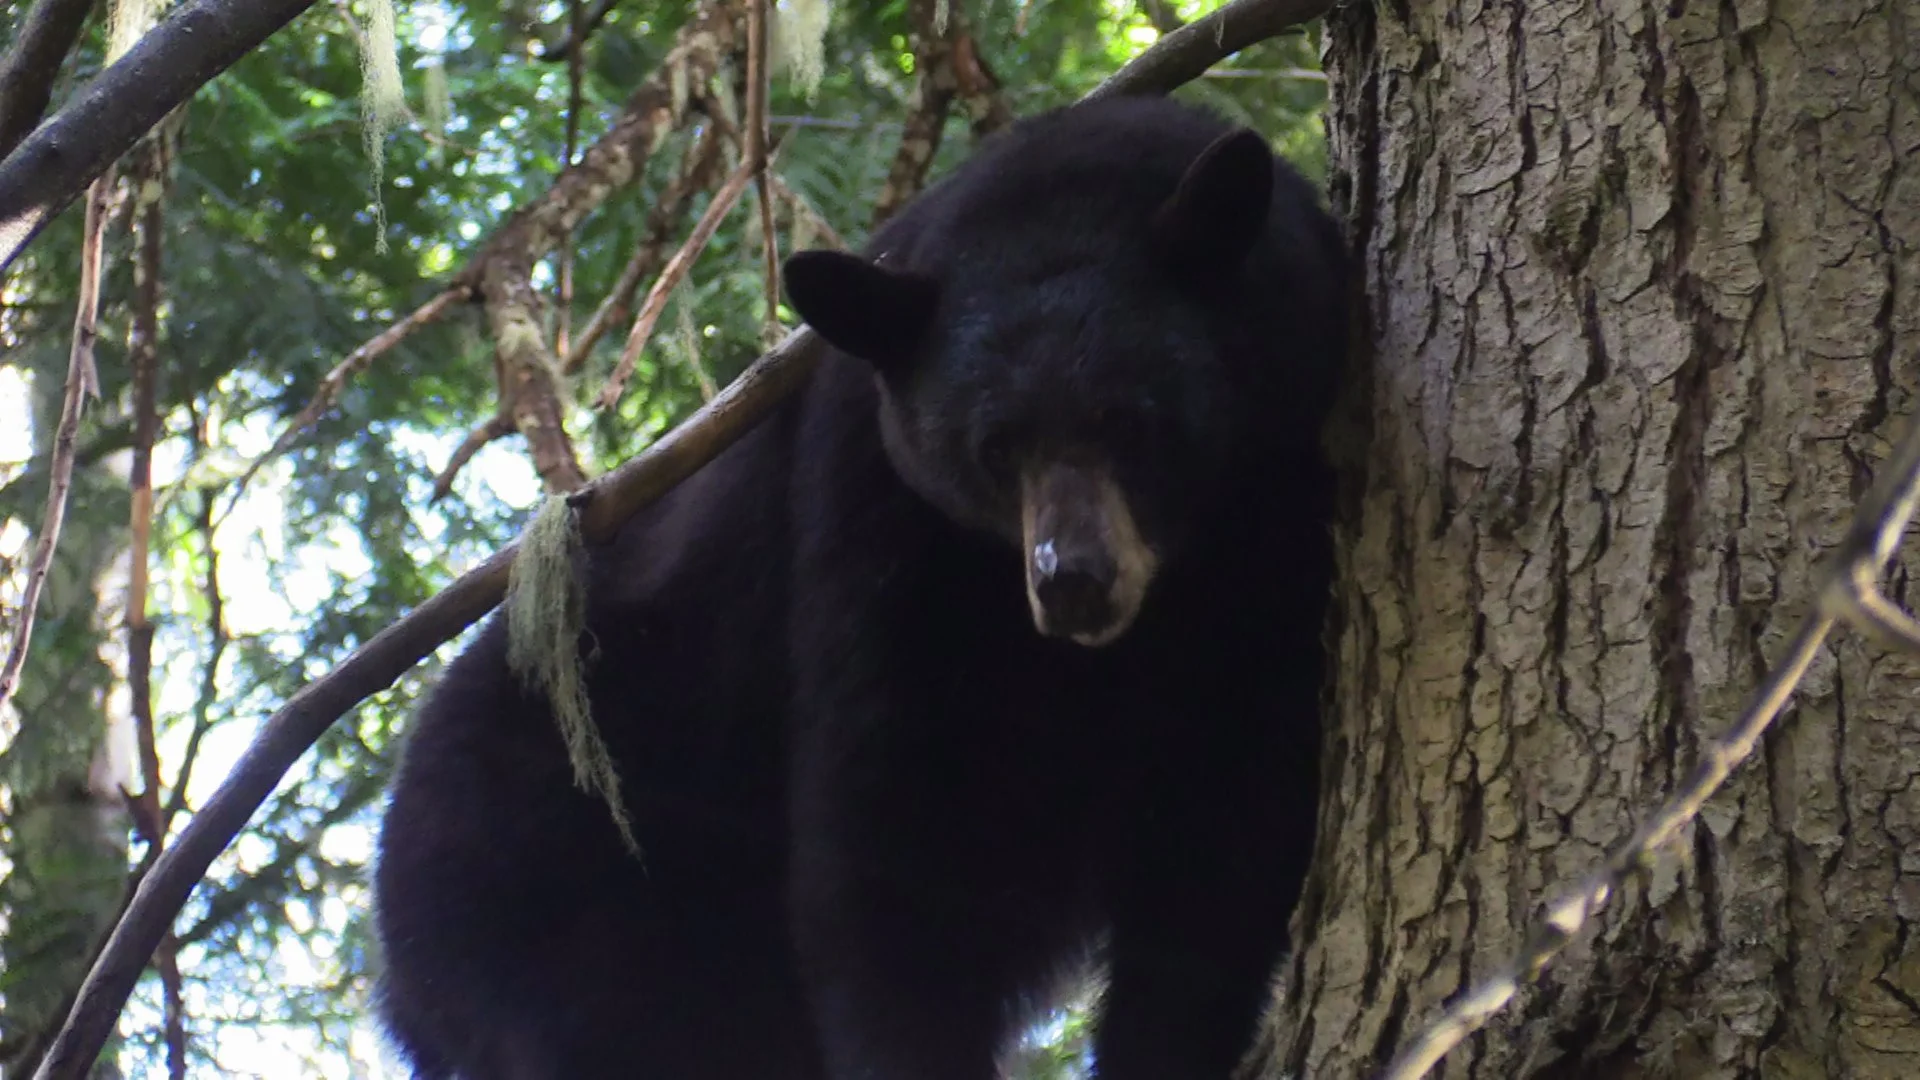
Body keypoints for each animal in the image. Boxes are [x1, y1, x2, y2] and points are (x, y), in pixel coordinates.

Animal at [371, 93, 1348, 1080]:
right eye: (995, 447)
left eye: (1128, 421)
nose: (1071, 581)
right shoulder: (872, 523)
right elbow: (898, 834)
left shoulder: (1281, 524)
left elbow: (1227, 828)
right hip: (552, 876)